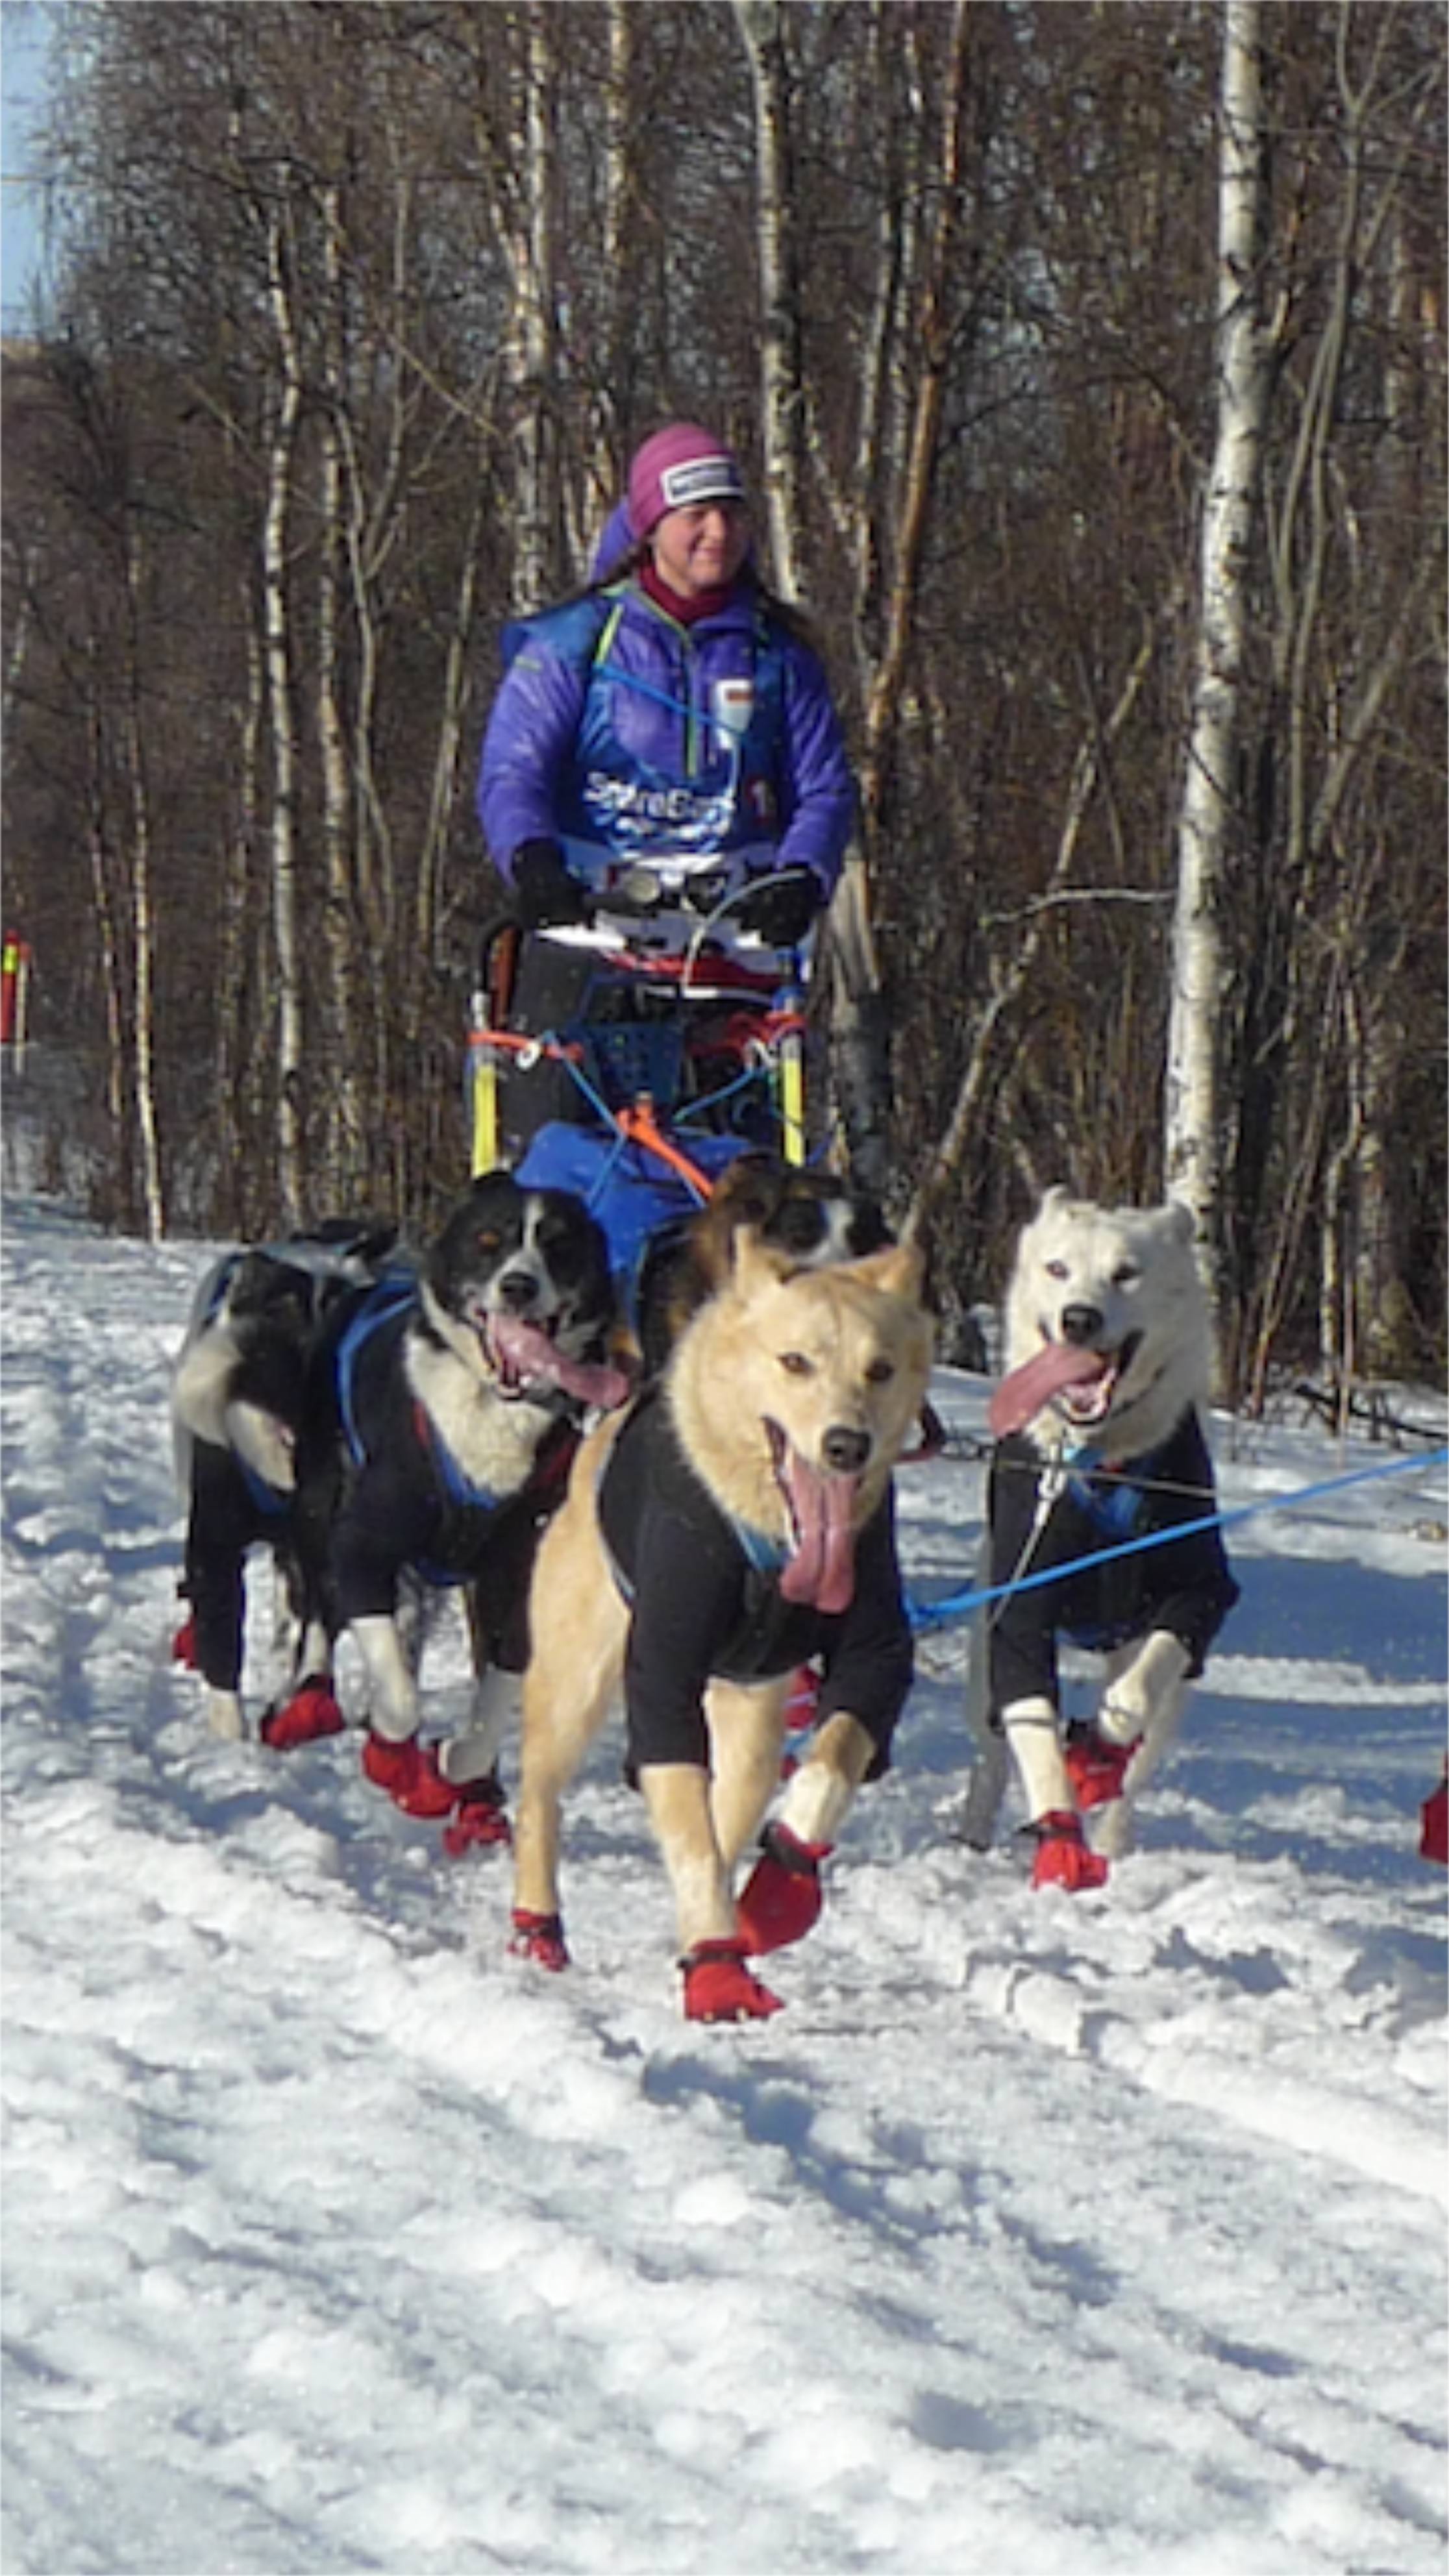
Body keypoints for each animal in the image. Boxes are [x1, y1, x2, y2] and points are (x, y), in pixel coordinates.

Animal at [299, 1171, 632, 1846]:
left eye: (558, 1244)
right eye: (488, 1241)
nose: (518, 1285)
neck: (492, 1407)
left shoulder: (516, 1577)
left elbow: (494, 1699)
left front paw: (456, 1765)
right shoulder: (362, 1548)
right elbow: (400, 1698)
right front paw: (391, 1756)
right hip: (319, 1511)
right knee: (317, 1607)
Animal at [502, 1229, 934, 2020]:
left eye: (880, 1369)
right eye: (794, 1361)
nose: (846, 1444)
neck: (771, 1541)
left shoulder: (877, 1657)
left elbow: (827, 1766)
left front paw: (776, 1890)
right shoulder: (663, 1677)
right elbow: (693, 1842)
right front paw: (716, 1969)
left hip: (752, 1713)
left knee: (731, 1803)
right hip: (573, 1687)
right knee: (541, 1801)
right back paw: (539, 1924)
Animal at [958, 1187, 1239, 1885]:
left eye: (1126, 1272)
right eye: (1057, 1268)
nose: (1078, 1319)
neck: (1097, 1458)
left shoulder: (1201, 1593)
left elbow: (1140, 1687)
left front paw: (1104, 1739)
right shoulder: (1019, 1612)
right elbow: (1034, 1735)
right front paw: (1061, 1835)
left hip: (1170, 1687)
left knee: (1137, 1761)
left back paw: (1112, 1825)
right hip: (982, 1652)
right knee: (992, 1750)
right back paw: (974, 1834)